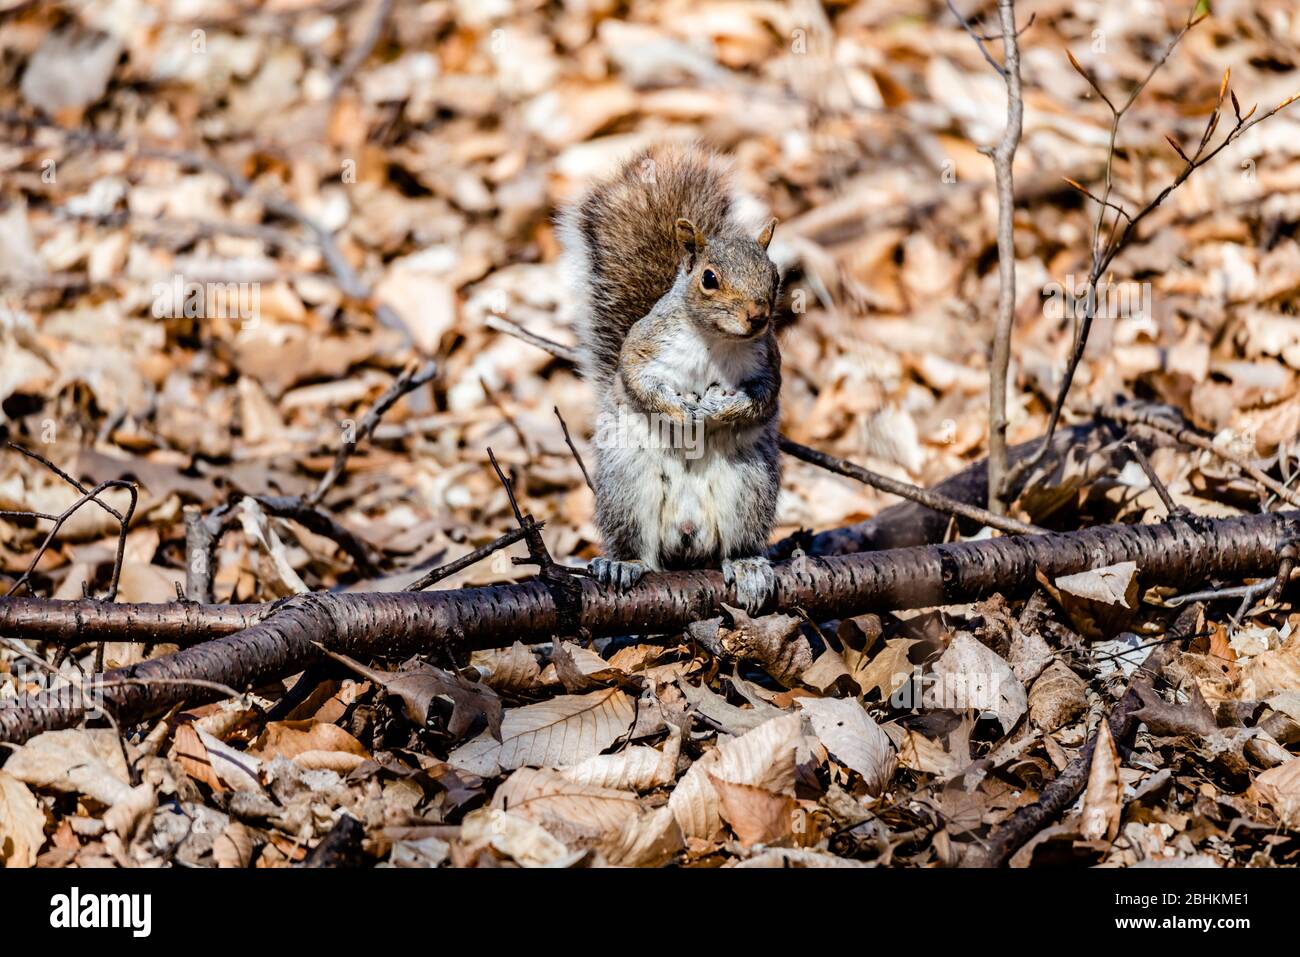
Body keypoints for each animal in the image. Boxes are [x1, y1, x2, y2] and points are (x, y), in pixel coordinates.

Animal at [559, 141, 780, 613]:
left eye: (774, 275)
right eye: (709, 279)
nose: (757, 317)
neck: (713, 340)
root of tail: (687, 533)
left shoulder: (768, 364)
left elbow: (762, 399)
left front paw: (719, 410)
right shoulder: (643, 346)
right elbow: (637, 380)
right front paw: (679, 413)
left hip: (748, 486)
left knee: (736, 543)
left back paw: (748, 566)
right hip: (627, 485)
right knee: (638, 547)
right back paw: (622, 564)